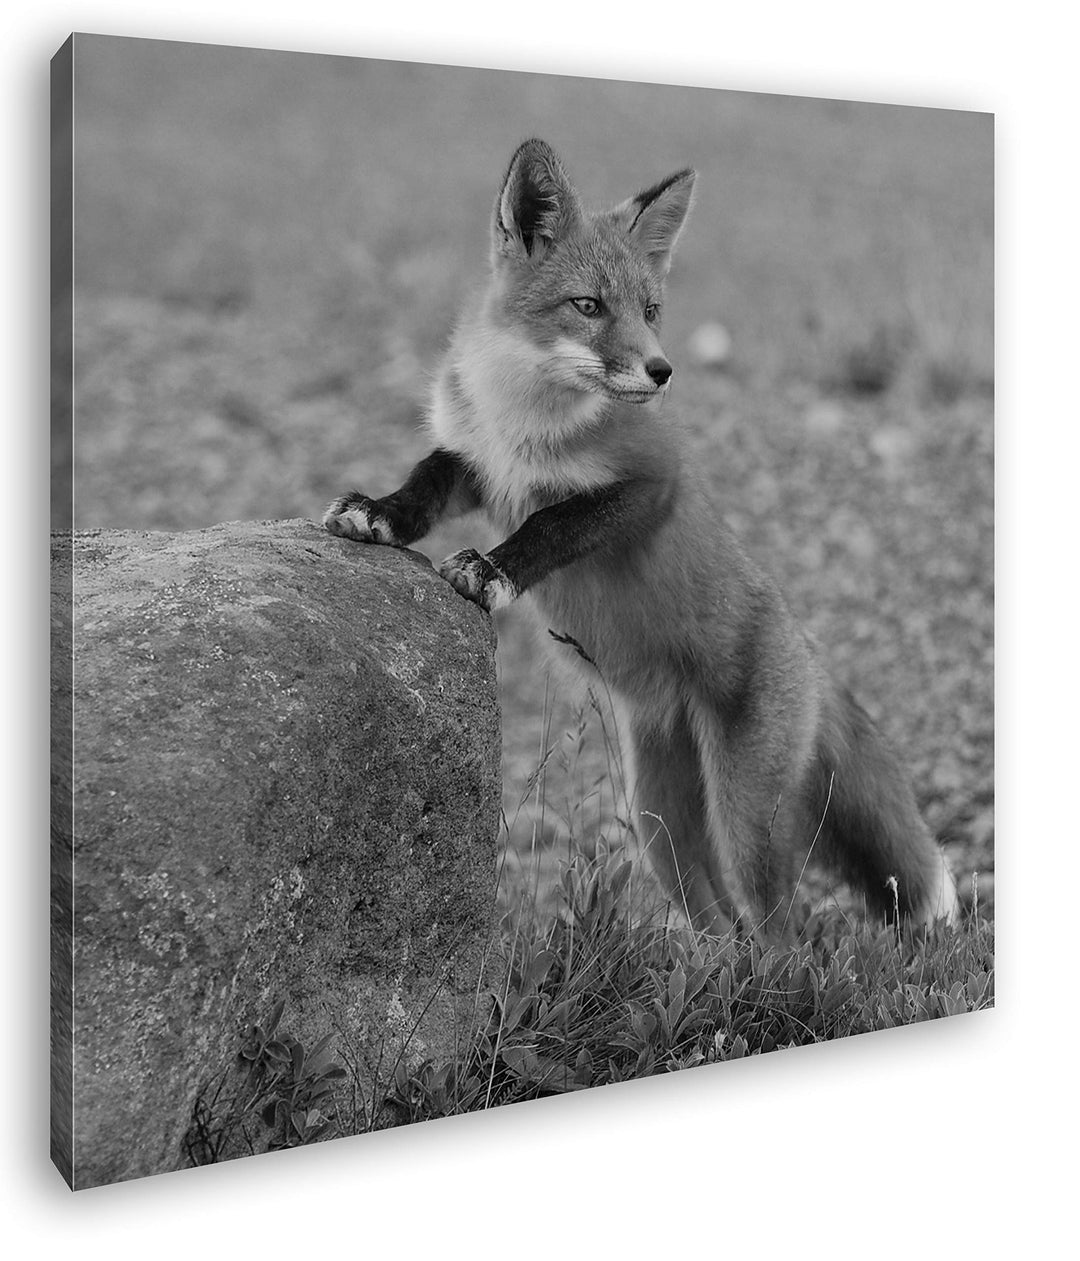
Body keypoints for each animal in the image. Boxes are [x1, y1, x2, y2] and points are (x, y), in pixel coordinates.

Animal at [323, 138, 960, 941]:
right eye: (589, 305)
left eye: (651, 310)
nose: (662, 371)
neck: (524, 416)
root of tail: (807, 650)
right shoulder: (478, 462)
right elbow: (425, 482)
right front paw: (376, 515)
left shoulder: (652, 482)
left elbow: (553, 523)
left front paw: (491, 571)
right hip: (659, 821)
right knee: (722, 922)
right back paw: (717, 969)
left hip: (744, 819)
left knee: (782, 932)